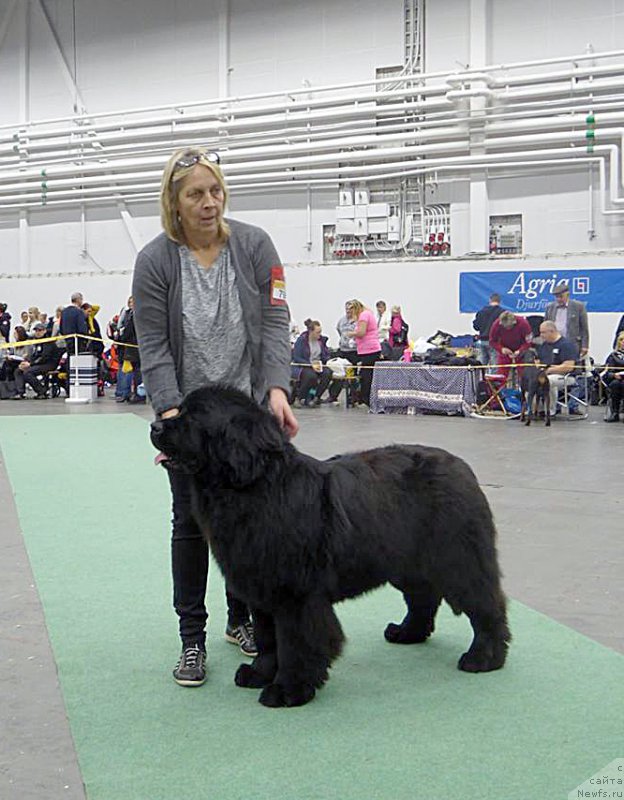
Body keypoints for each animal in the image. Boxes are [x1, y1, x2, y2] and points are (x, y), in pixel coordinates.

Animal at [152, 386, 512, 708]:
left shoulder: (295, 596)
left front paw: (288, 690)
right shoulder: (262, 590)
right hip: (406, 563)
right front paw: (258, 673)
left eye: (193, 417)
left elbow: (295, 643)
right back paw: (407, 633)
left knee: (485, 605)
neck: (253, 487)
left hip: (459, 560)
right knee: (423, 597)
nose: (155, 426)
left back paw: (484, 657)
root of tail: (463, 468)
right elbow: (268, 640)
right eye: (179, 410)